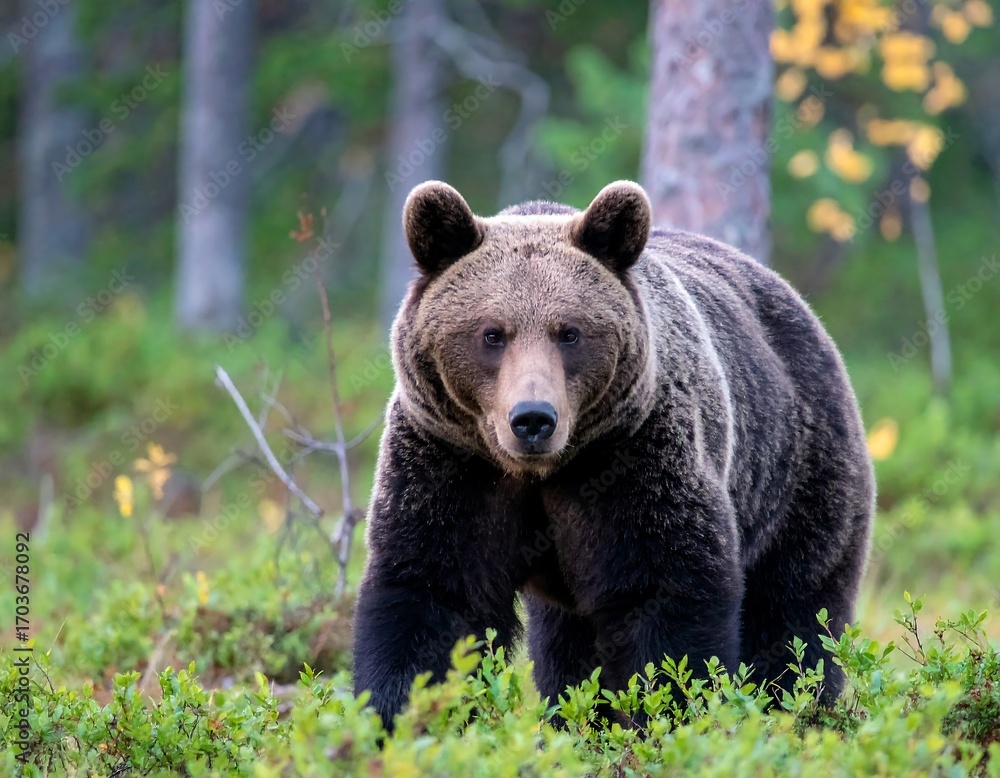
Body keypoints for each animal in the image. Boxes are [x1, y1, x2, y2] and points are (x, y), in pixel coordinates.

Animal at [353, 179, 875, 729]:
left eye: (570, 332)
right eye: (491, 333)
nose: (533, 419)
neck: (541, 472)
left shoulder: (633, 457)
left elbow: (663, 598)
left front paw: (665, 717)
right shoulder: (452, 460)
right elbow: (434, 592)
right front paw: (401, 716)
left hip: (798, 468)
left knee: (794, 610)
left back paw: (795, 709)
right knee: (566, 645)